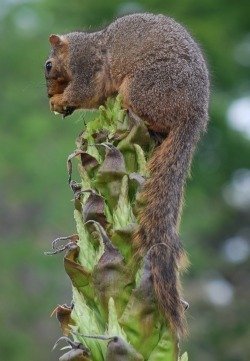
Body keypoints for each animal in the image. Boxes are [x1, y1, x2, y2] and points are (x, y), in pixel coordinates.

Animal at [45, 13, 209, 334]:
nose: (47, 93)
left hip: (143, 88)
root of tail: (193, 114)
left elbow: (84, 91)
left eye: (48, 65)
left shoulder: (87, 69)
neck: (83, 45)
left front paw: (59, 101)